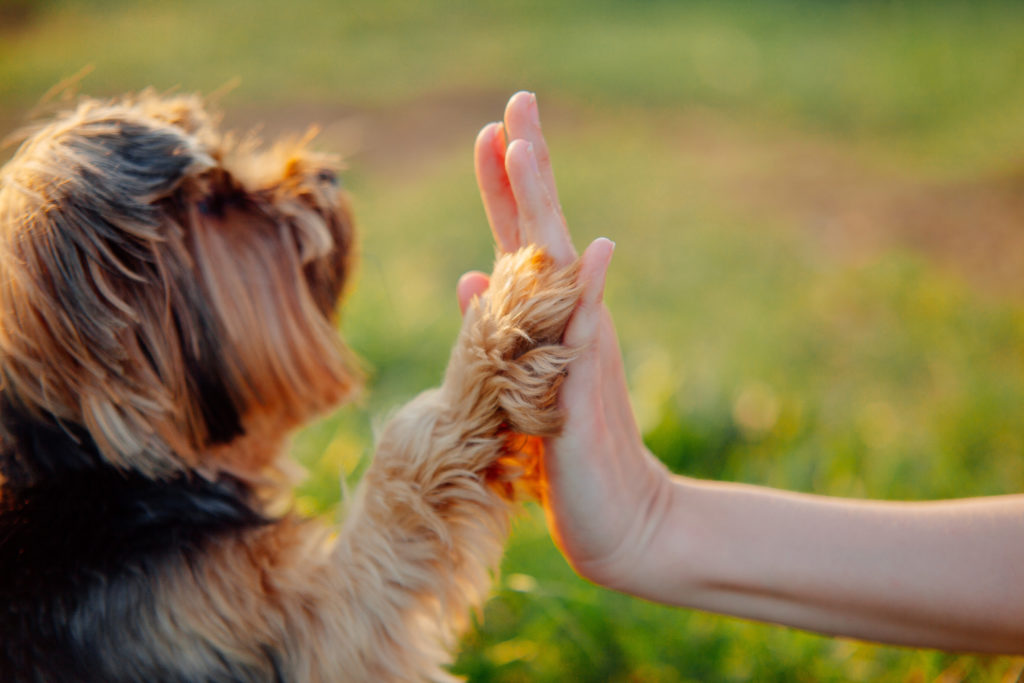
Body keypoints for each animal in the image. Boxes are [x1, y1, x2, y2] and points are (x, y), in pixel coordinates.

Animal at [0, 92, 577, 683]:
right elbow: (399, 480)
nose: (324, 173)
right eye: (213, 204)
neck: (105, 478)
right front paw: (500, 336)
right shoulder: (279, 626)